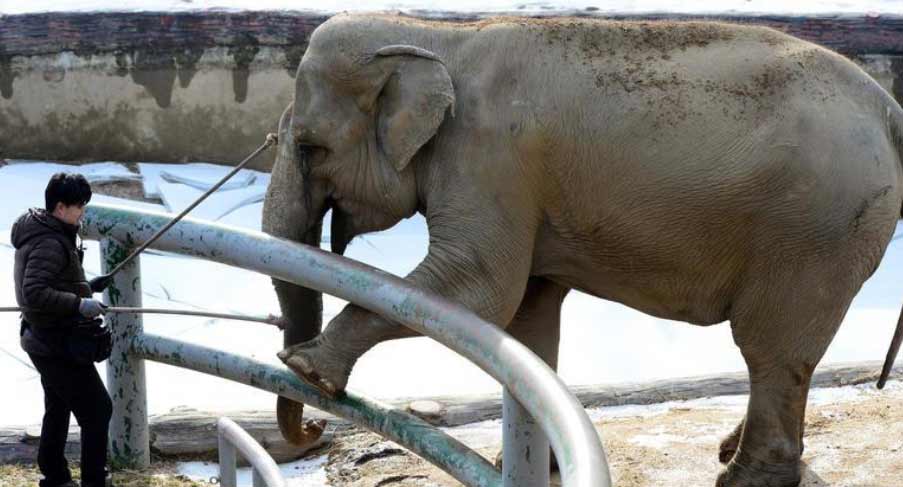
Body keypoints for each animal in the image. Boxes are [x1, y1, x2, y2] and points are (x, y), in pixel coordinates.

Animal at [261, 13, 903, 486]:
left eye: (310, 148)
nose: (313, 433)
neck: (439, 35)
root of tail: (888, 108)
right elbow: (528, 314)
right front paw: (524, 463)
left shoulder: (490, 158)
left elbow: (480, 287)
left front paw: (305, 368)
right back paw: (730, 453)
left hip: (814, 229)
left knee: (769, 347)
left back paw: (741, 478)